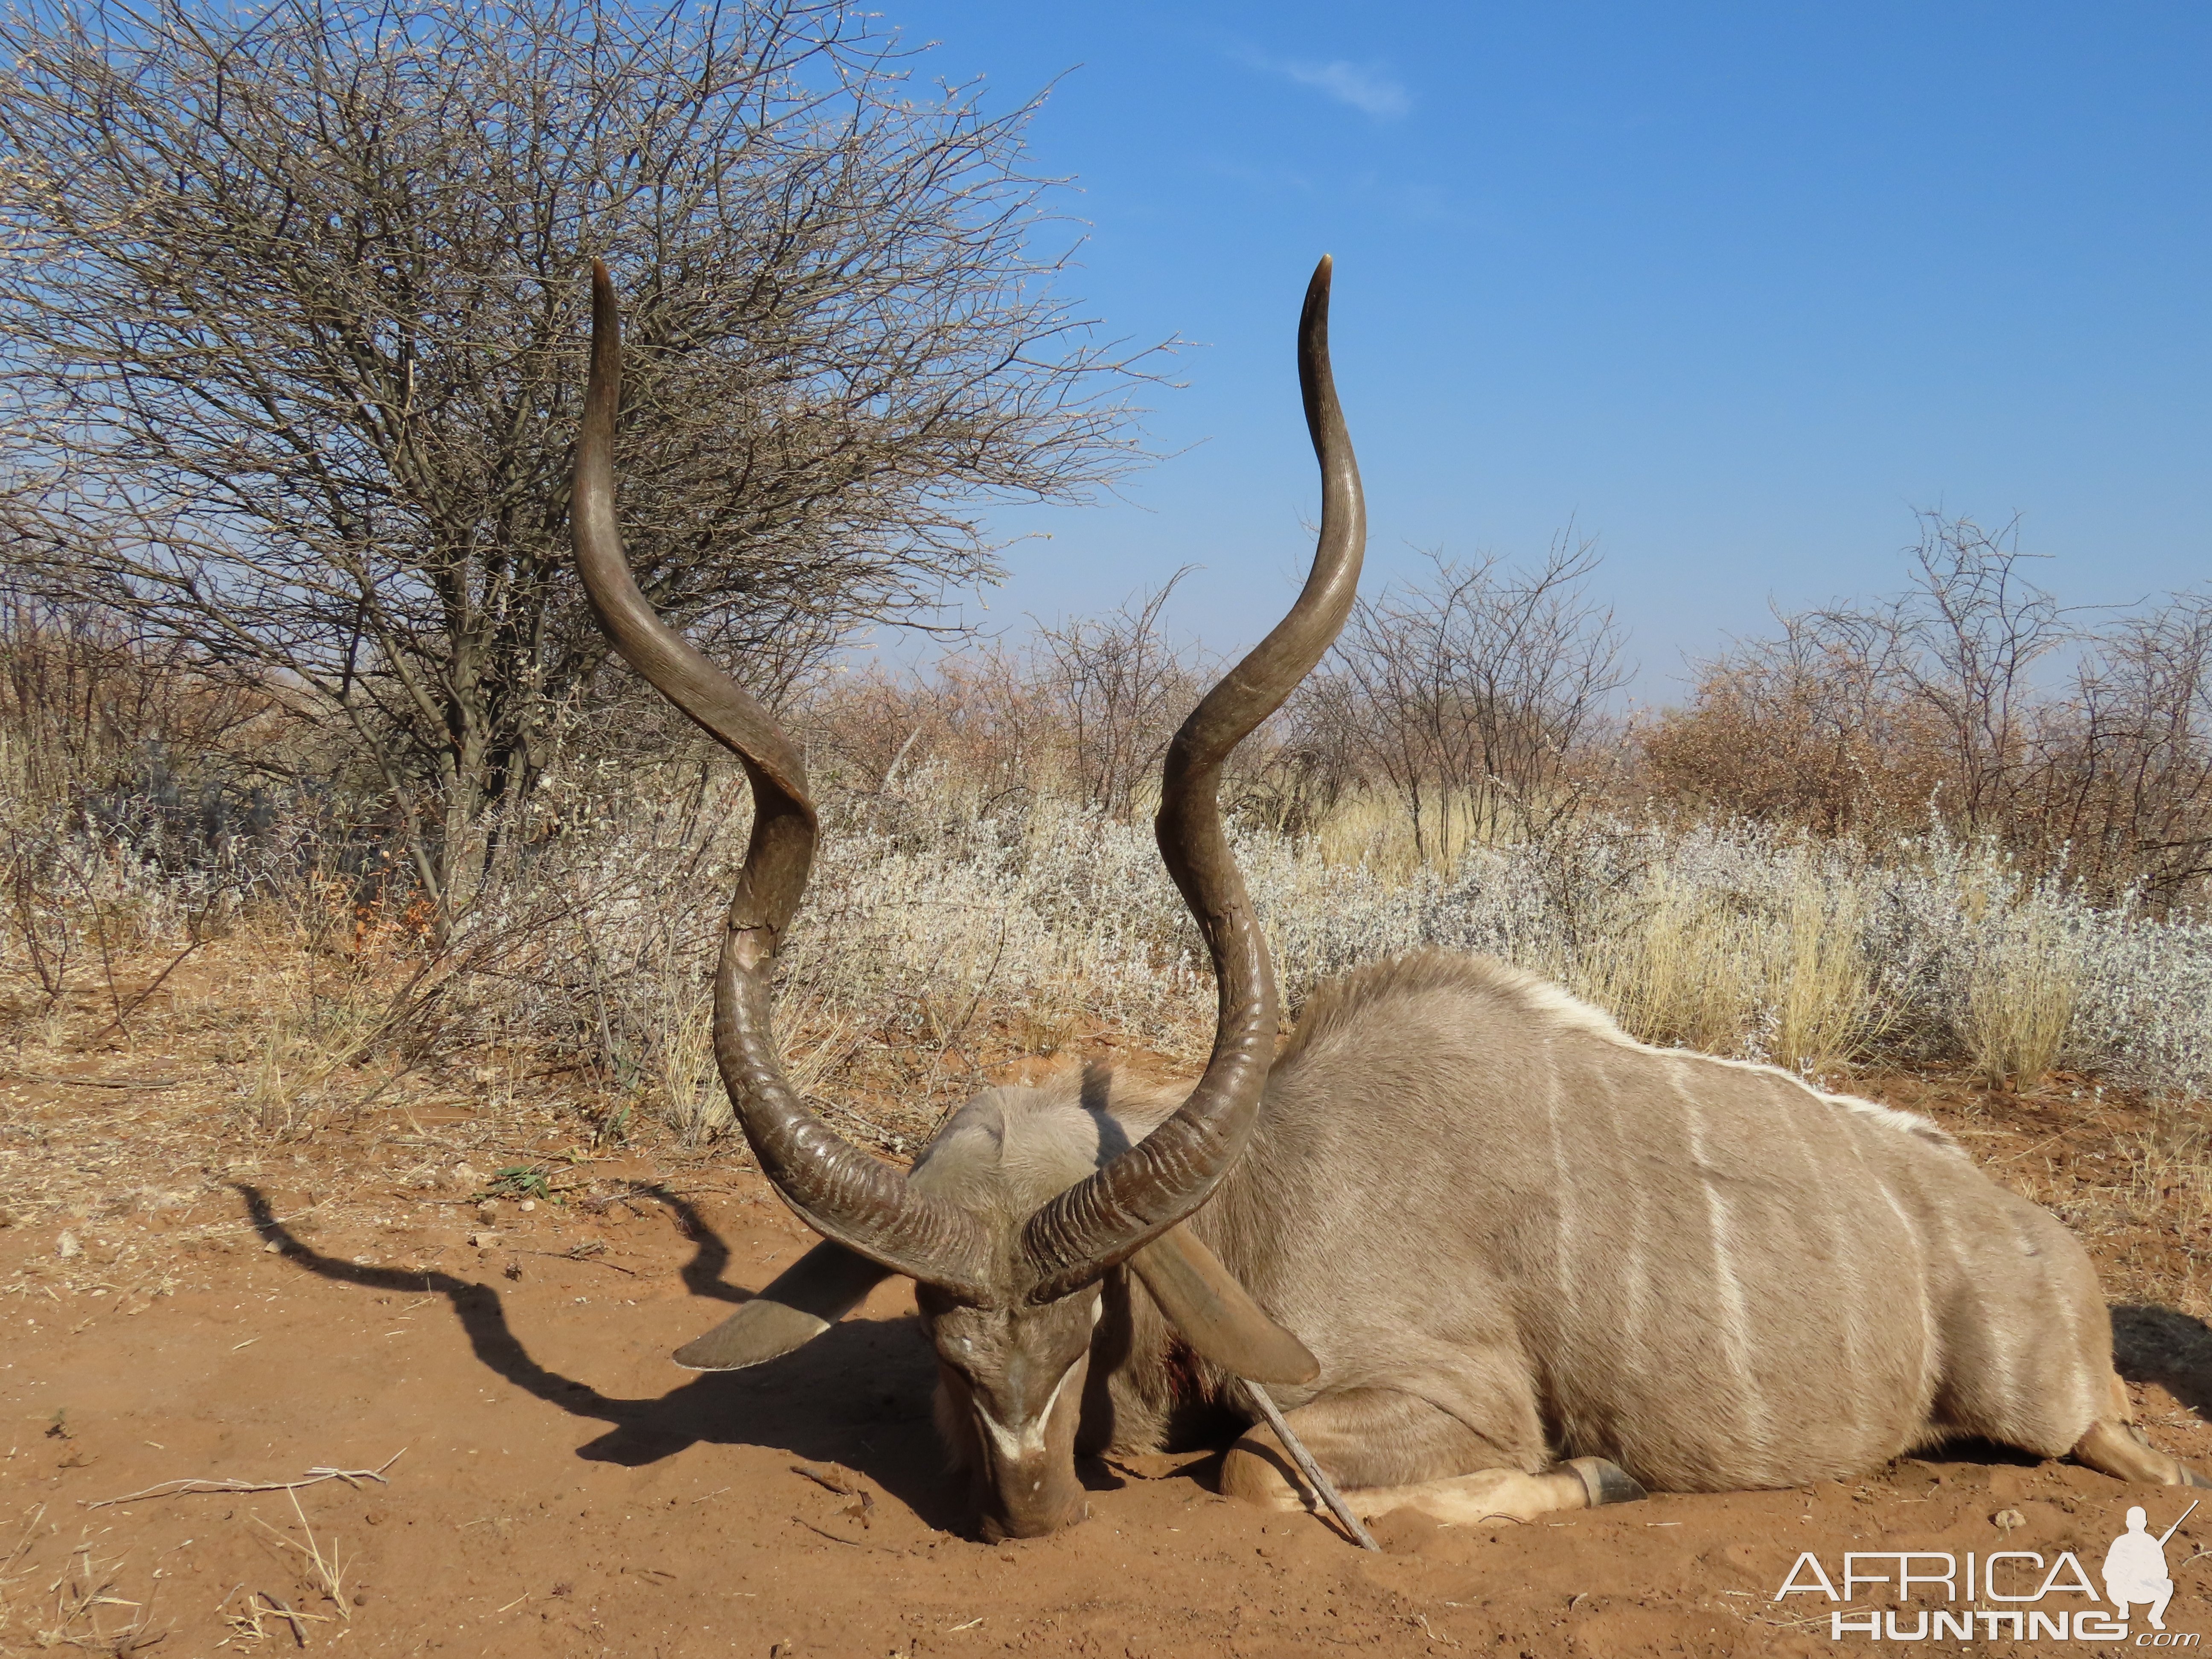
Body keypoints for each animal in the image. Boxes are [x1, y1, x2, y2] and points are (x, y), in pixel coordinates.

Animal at [575, 256, 2212, 1548]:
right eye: (940, 1335)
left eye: (1092, 1306)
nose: (1030, 1506)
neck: (1261, 1197)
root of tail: (2043, 1240)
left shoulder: (1438, 1396)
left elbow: (1256, 1467)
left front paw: (1594, 1473)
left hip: (2049, 1407)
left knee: (2124, 1448)